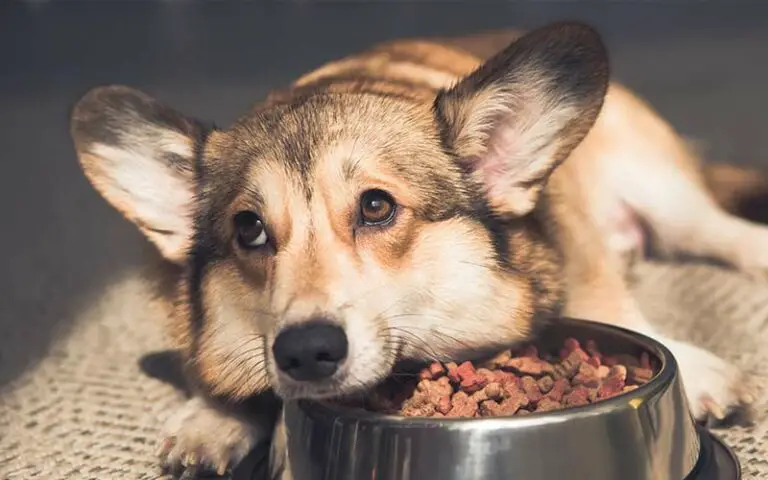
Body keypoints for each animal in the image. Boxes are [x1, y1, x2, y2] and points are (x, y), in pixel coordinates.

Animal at [70, 20, 760, 478]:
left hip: (662, 191)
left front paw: (695, 369)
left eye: (376, 207)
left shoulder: (579, 244)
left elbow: (609, 301)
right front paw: (213, 418)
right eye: (250, 230)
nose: (306, 352)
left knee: (723, 231)